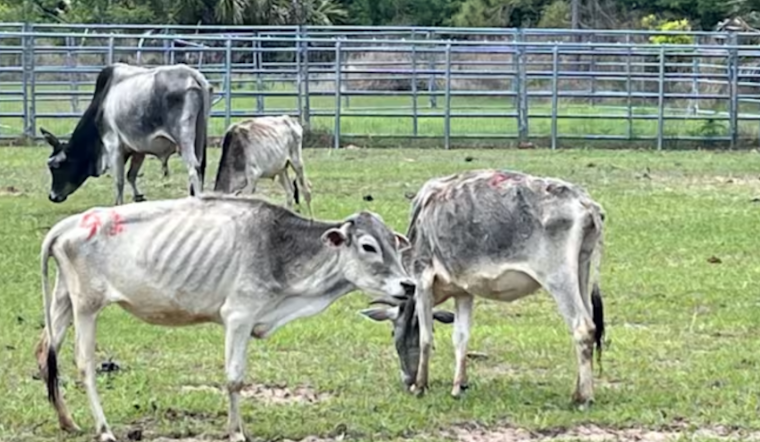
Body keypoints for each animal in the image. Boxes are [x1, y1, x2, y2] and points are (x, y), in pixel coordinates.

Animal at [35, 194, 414, 442]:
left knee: (45, 352)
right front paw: (236, 432)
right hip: (87, 306)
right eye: (368, 246)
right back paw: (104, 430)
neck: (280, 249)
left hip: (63, 301)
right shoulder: (239, 316)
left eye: (395, 246)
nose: (407, 284)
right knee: (84, 365)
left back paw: (68, 422)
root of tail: (68, 224)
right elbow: (234, 379)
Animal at [40, 62, 213, 205]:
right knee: (200, 168)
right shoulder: (138, 149)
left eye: (57, 167)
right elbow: (131, 175)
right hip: (200, 136)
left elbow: (119, 180)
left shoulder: (113, 144)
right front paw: (138, 197)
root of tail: (192, 76)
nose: (52, 196)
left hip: (184, 139)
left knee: (193, 169)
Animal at [360, 169, 606, 407]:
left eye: (392, 332)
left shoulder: (423, 280)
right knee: (592, 326)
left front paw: (420, 386)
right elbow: (461, 337)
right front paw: (458, 386)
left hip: (558, 278)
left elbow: (426, 338)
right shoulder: (463, 292)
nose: (407, 380)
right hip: (581, 270)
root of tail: (584, 201)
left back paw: (584, 398)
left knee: (583, 328)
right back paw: (578, 391)